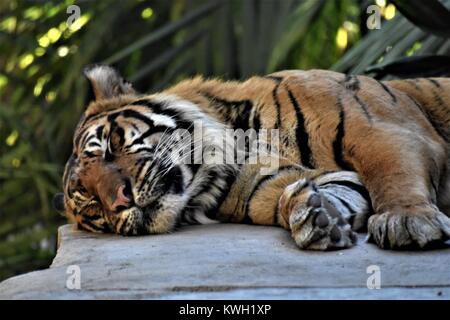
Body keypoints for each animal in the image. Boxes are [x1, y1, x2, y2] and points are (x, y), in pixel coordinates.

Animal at [52, 64, 450, 250]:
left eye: (108, 145)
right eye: (93, 206)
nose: (119, 202)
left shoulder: (379, 128)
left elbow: (392, 173)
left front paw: (407, 221)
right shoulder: (278, 183)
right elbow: (306, 195)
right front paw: (318, 218)